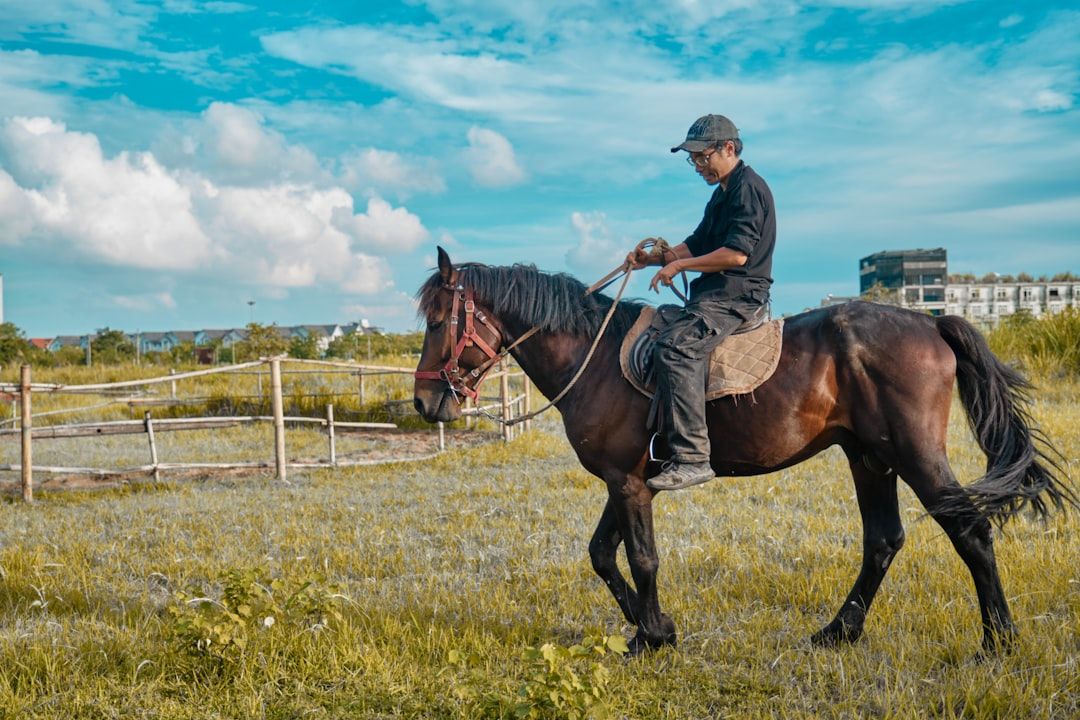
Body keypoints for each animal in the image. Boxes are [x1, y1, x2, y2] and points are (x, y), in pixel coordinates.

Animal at [412, 247, 1075, 656]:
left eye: (439, 319)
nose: (424, 402)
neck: (592, 356)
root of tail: (931, 321)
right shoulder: (627, 479)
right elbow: (602, 555)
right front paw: (649, 628)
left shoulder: (627, 483)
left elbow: (641, 558)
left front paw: (652, 636)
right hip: (870, 457)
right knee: (883, 541)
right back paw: (838, 632)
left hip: (915, 455)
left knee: (970, 533)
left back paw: (998, 642)